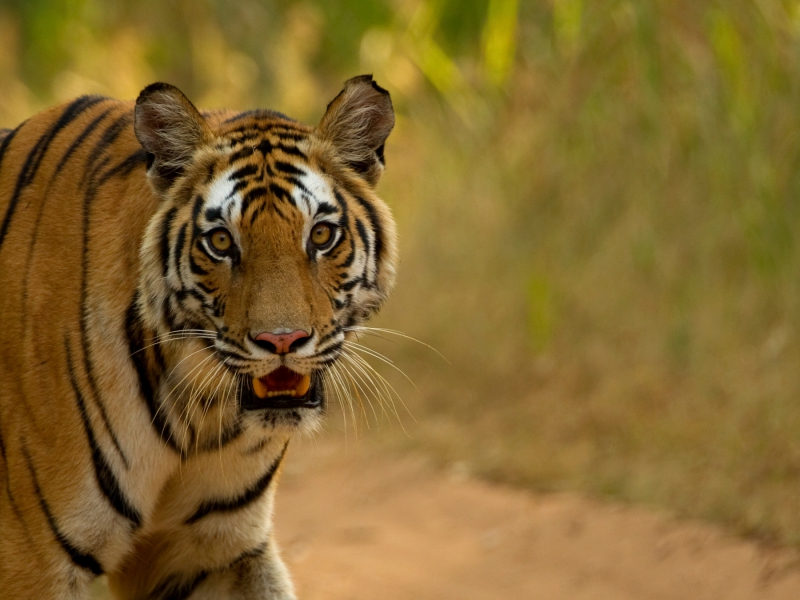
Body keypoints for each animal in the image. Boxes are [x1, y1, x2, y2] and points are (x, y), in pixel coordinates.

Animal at [0, 75, 397, 599]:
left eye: (321, 235)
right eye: (222, 242)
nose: (283, 341)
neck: (200, 411)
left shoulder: (212, 550)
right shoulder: (34, 559)